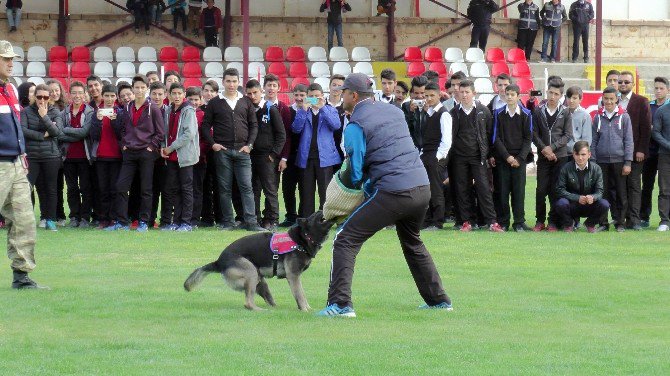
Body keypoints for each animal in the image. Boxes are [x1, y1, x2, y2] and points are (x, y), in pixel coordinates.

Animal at [185, 212, 334, 312]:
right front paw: (305, 309)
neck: (302, 239)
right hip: (251, 273)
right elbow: (300, 294)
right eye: (315, 215)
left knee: (265, 298)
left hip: (260, 280)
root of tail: (219, 261)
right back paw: (260, 310)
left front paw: (307, 308)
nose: (322, 208)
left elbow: (301, 294)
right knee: (248, 302)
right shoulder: (294, 276)